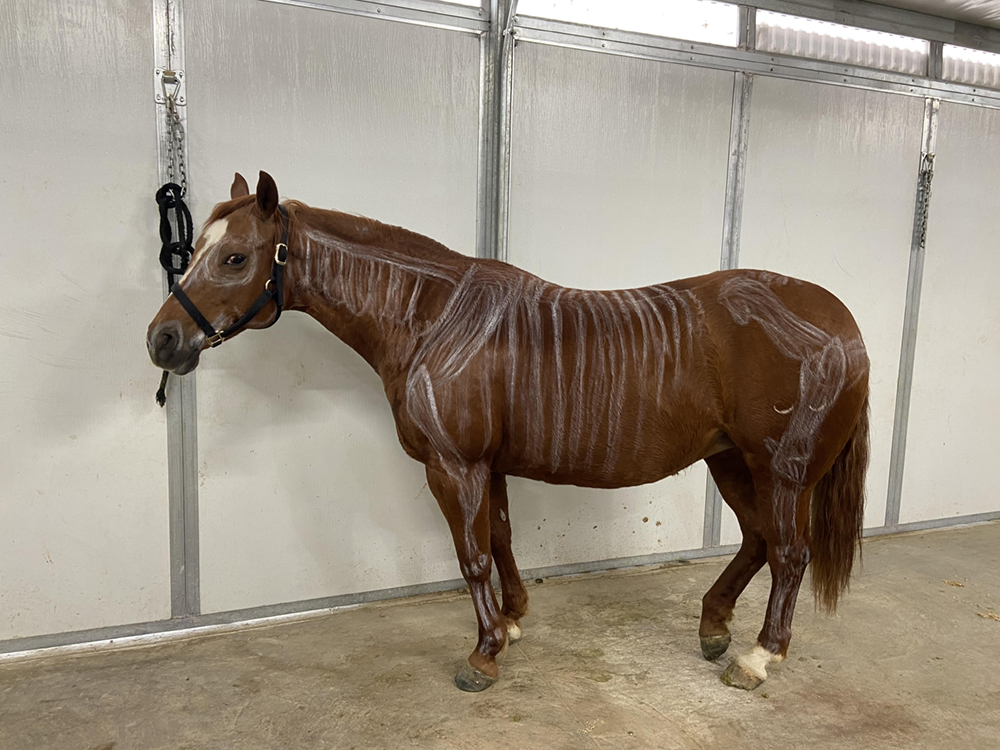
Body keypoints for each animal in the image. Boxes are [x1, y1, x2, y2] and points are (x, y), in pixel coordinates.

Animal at [147, 171, 870, 692]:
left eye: (235, 258)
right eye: (197, 250)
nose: (162, 340)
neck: (434, 318)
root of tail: (841, 322)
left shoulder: (453, 465)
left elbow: (470, 556)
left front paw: (484, 653)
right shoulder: (487, 465)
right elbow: (499, 538)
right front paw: (514, 622)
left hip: (783, 470)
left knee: (789, 553)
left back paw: (758, 658)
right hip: (731, 460)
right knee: (757, 540)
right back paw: (715, 627)